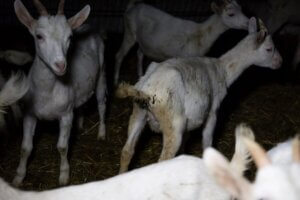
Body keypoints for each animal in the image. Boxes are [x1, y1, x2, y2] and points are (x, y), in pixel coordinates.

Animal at [12, 0, 106, 186]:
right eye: (39, 36)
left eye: (69, 37)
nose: (61, 65)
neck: (47, 92)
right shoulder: (29, 114)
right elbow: (25, 148)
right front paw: (18, 177)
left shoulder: (66, 114)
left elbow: (62, 147)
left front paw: (63, 176)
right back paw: (81, 124)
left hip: (102, 72)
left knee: (101, 103)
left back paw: (101, 133)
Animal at [113, 0, 250, 85]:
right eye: (231, 14)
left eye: (242, 9)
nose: (248, 22)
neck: (201, 34)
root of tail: (131, 7)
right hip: (129, 32)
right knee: (119, 55)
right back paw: (115, 81)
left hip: (144, 42)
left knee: (139, 54)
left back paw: (140, 75)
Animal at [116, 16, 282, 173]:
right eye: (269, 49)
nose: (280, 62)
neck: (223, 71)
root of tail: (146, 89)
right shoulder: (212, 112)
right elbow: (207, 142)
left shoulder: (189, 124)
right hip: (172, 123)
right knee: (162, 159)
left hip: (138, 113)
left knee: (127, 151)